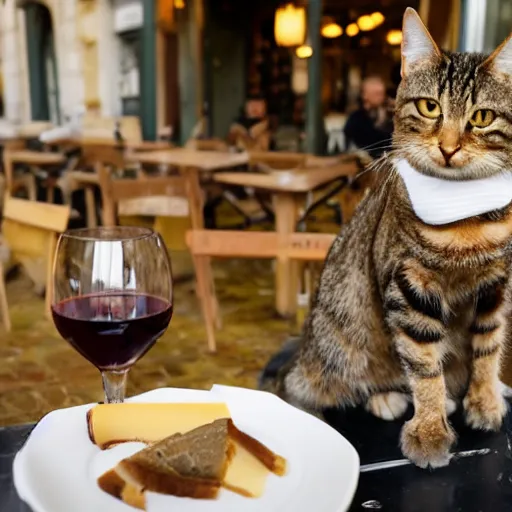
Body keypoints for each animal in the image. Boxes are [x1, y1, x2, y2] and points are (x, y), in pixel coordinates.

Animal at [264, 8, 512, 470]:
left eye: (482, 117)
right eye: (430, 107)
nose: (448, 147)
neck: (467, 216)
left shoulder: (496, 287)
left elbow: (488, 348)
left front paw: (485, 400)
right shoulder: (409, 288)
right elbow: (424, 365)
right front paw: (430, 431)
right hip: (340, 339)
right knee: (315, 387)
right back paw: (388, 397)